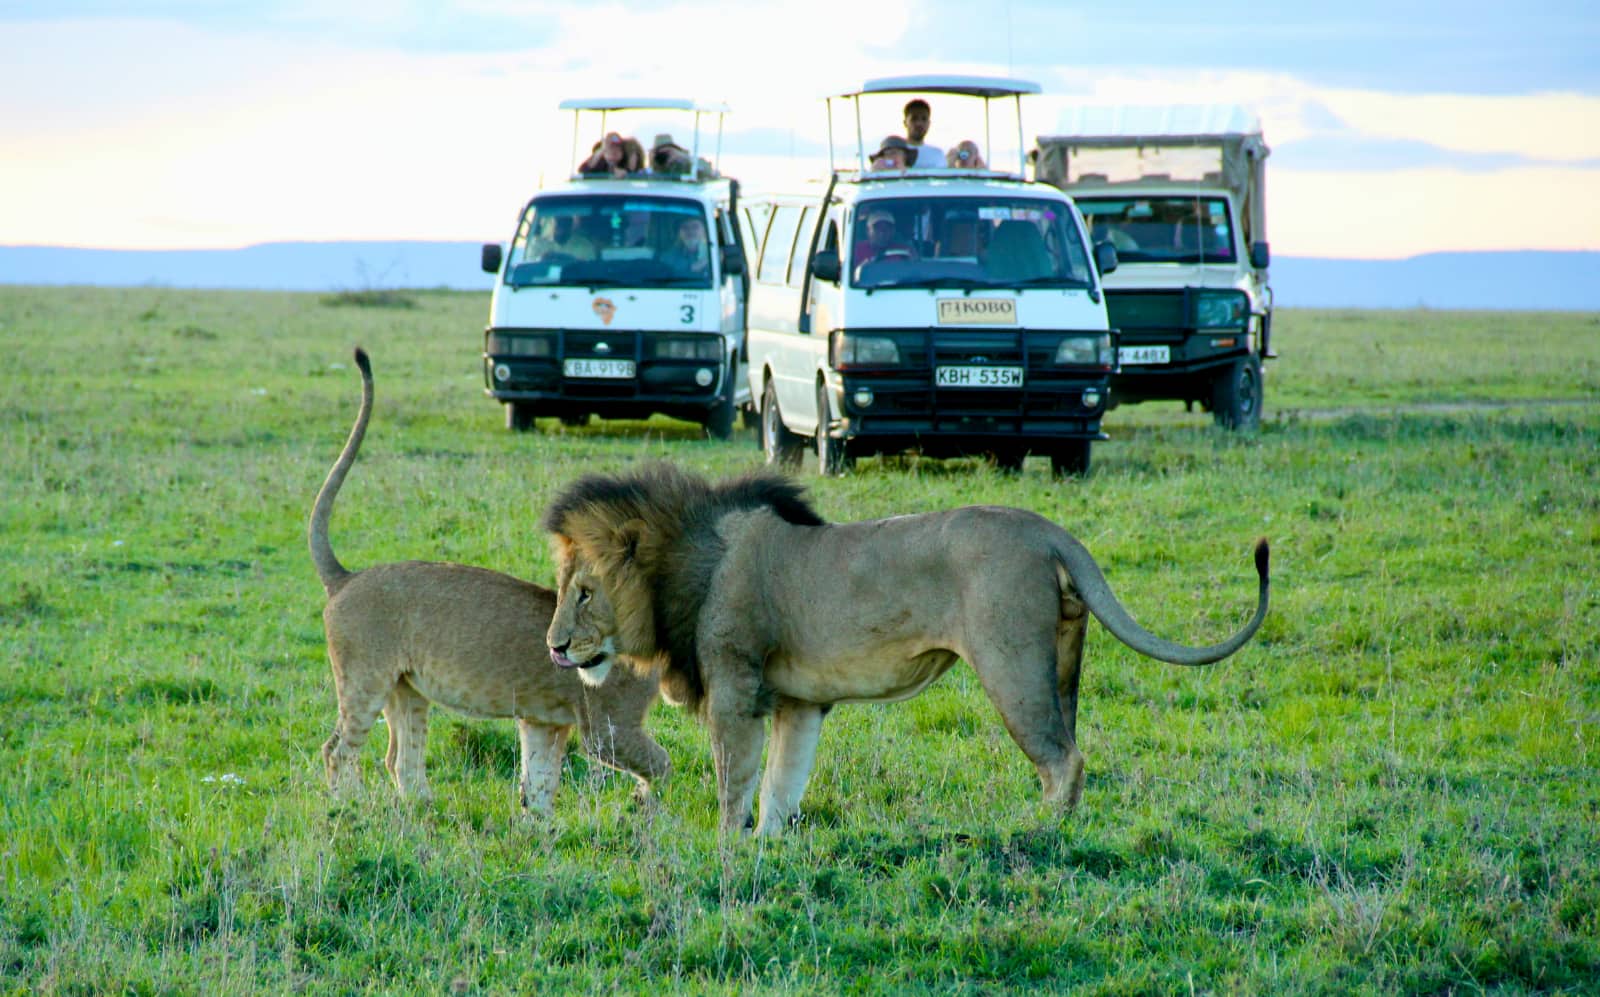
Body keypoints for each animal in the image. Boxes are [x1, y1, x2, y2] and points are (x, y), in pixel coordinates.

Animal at [308, 347, 665, 816]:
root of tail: (346, 578)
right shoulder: (608, 728)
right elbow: (661, 764)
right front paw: (650, 809)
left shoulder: (542, 720)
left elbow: (539, 781)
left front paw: (540, 827)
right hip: (364, 679)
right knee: (337, 750)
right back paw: (348, 809)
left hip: (407, 689)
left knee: (400, 758)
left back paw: (424, 810)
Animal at [544, 467, 1267, 832]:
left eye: (584, 593)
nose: (554, 647)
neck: (682, 565)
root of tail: (1049, 530)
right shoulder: (799, 702)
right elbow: (781, 786)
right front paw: (768, 853)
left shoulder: (736, 689)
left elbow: (735, 788)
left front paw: (727, 858)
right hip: (1064, 661)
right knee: (1069, 744)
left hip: (1010, 664)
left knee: (1064, 761)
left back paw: (1041, 837)